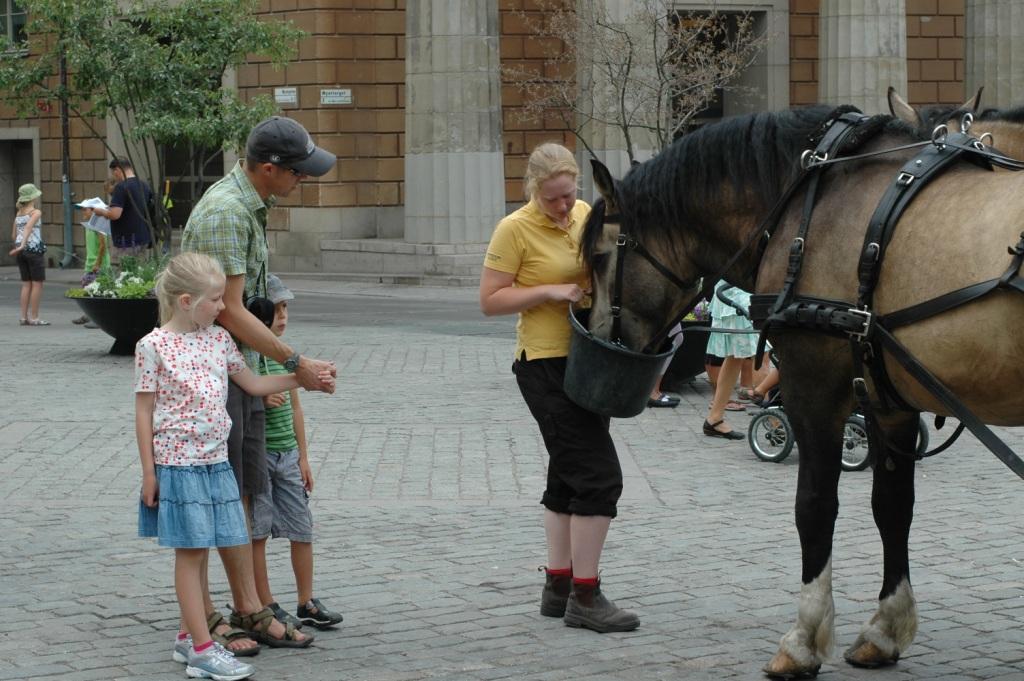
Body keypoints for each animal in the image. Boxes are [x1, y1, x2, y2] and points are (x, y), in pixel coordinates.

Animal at [581, 103, 1024, 675]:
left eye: (595, 257)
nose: (594, 339)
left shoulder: (814, 390)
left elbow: (814, 507)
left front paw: (803, 639)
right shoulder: (888, 400)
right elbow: (892, 507)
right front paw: (885, 628)